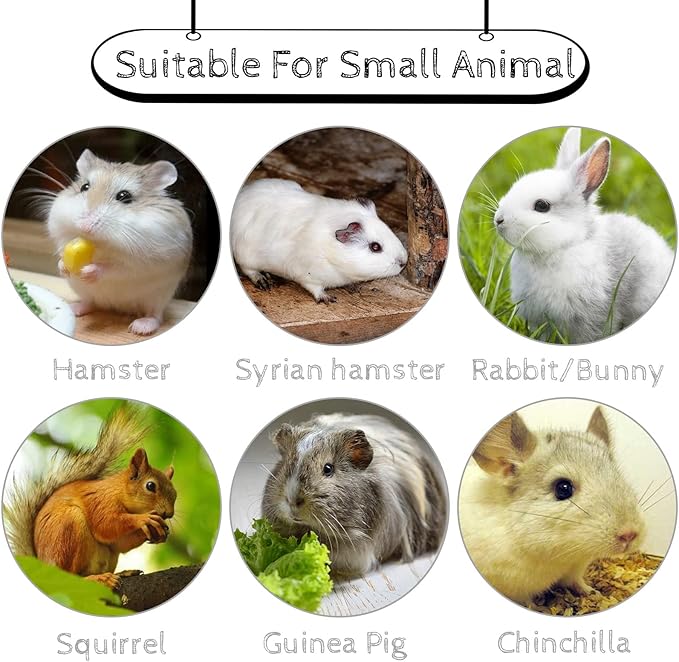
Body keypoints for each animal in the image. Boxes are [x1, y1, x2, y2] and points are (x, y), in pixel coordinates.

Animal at [4, 404, 176, 589]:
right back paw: (98, 579)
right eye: (150, 486)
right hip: (69, 529)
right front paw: (144, 519)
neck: (118, 491)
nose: (169, 514)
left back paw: (121, 573)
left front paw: (159, 532)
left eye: (175, 494)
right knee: (71, 577)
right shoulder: (100, 501)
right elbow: (106, 525)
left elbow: (120, 543)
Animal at [46, 149, 193, 335]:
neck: (100, 243)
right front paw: (63, 267)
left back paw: (140, 327)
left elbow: (115, 268)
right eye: (84, 187)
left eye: (124, 196)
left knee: (156, 315)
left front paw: (89, 271)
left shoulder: (141, 262)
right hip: (83, 290)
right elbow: (61, 255)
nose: (85, 226)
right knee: (90, 303)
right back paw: (73, 308)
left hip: (159, 296)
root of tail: (117, 307)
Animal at [230, 178, 408, 303]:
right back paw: (265, 282)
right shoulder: (306, 275)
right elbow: (315, 289)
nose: (404, 262)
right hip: (246, 256)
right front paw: (328, 299)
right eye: (375, 247)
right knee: (248, 270)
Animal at [459, 406, 645, 605]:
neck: (561, 556)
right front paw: (533, 606)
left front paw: (591, 591)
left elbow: (576, 581)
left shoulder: (576, 567)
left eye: (619, 476)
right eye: (563, 488)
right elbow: (526, 601)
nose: (630, 534)